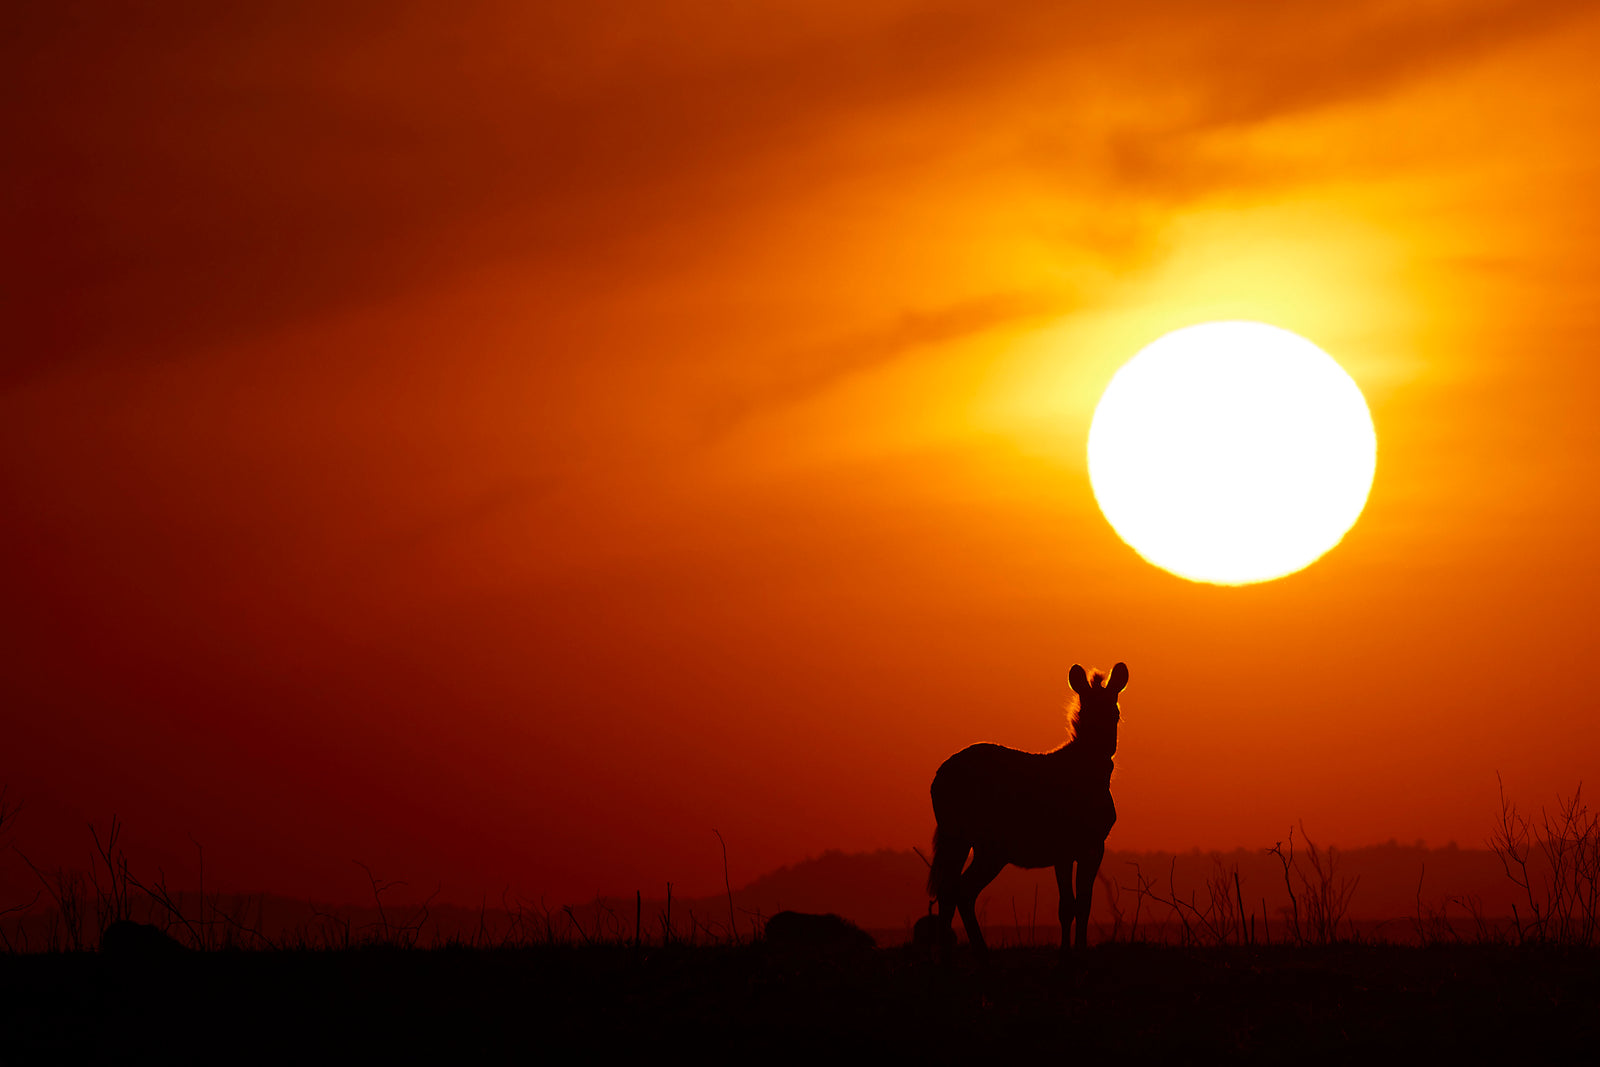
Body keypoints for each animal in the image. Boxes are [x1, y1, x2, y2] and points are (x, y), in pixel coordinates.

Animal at [927, 662, 1127, 957]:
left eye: (1115, 713)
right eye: (1086, 711)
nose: (1102, 748)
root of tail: (937, 780)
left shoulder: (1090, 846)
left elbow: (1082, 904)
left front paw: (1076, 954)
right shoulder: (1067, 846)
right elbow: (1068, 906)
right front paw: (1067, 957)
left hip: (971, 842)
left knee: (952, 890)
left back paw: (957, 958)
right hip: (973, 841)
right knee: (958, 890)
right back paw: (972, 955)